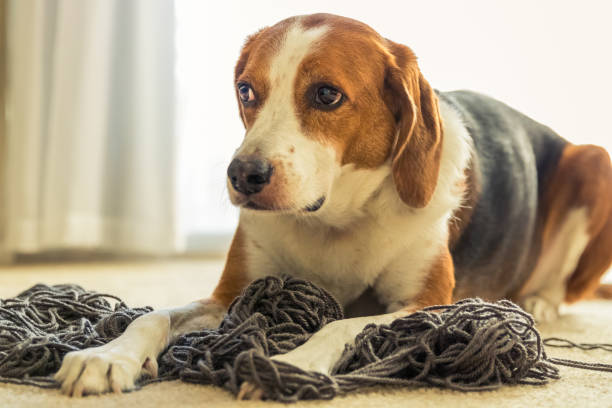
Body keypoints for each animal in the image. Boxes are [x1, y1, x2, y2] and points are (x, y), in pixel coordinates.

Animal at [55, 14, 612, 396]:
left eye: (326, 95)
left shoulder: (430, 303)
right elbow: (152, 317)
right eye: (246, 91)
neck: (334, 217)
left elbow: (345, 322)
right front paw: (109, 355)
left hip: (593, 160)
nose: (243, 175)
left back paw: (539, 301)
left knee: (563, 286)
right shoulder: (230, 294)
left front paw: (291, 364)